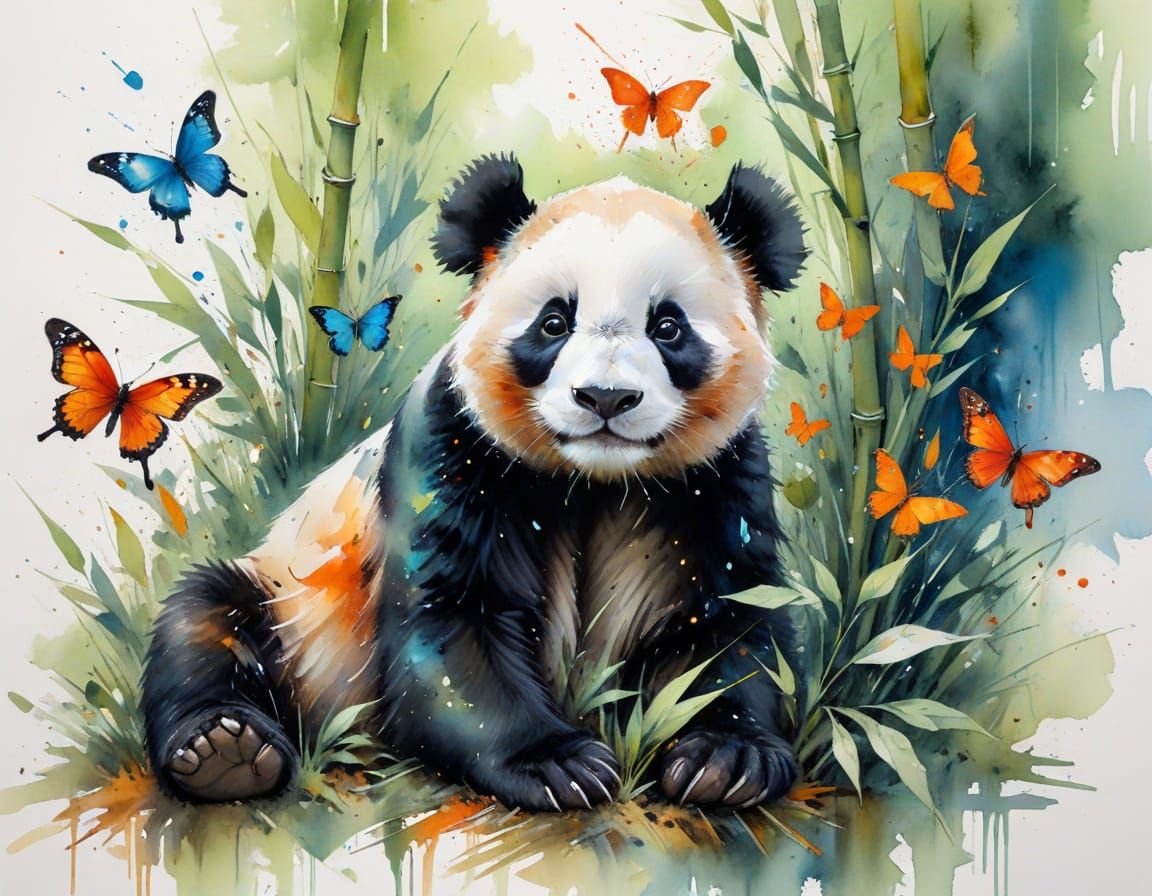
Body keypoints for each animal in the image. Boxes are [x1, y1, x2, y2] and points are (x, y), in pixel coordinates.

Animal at [142, 155, 807, 812]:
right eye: (554, 322)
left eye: (668, 327)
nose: (605, 397)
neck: (594, 478)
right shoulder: (455, 448)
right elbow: (455, 616)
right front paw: (557, 763)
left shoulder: (716, 481)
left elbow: (726, 622)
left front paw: (726, 758)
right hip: (289, 609)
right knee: (206, 618)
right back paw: (225, 751)